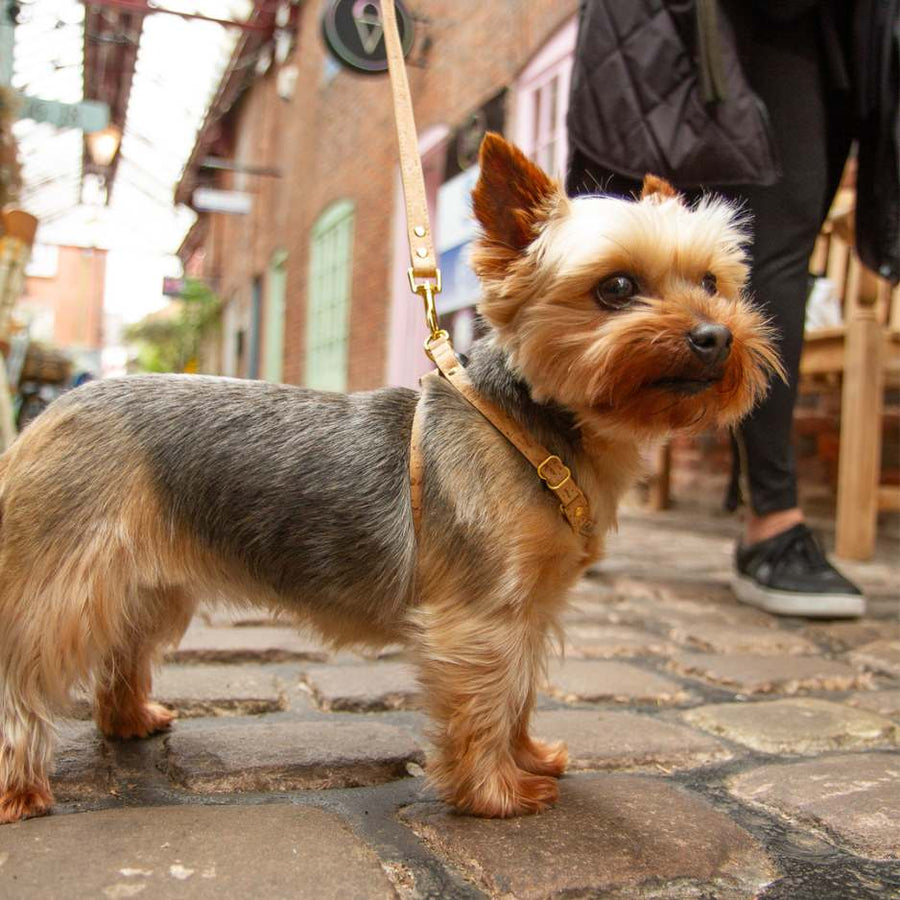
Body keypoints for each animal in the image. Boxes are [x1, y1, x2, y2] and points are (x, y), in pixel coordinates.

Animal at [0, 134, 780, 824]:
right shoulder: (480, 617)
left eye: (712, 283)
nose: (716, 335)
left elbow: (520, 691)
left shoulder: (528, 609)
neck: (540, 426)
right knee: (25, 673)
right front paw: (497, 794)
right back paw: (22, 790)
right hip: (66, 584)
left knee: (123, 646)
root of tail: (52, 411)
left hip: (146, 582)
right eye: (616, 287)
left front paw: (528, 758)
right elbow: (485, 701)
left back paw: (130, 719)